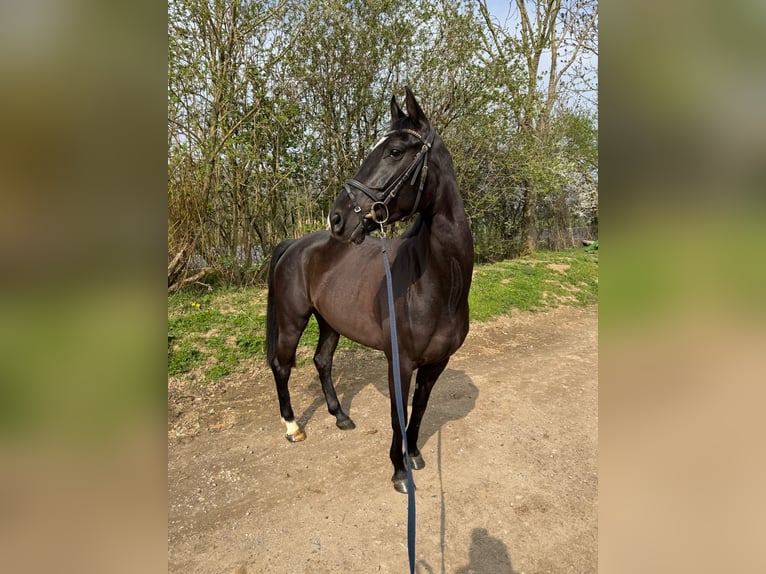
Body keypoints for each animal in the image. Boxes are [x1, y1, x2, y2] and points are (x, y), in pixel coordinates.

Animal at [266, 87, 473, 493]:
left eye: (395, 151)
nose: (337, 217)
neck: (437, 286)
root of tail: (295, 245)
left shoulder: (436, 363)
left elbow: (418, 410)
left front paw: (414, 455)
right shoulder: (400, 362)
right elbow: (397, 415)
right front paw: (399, 470)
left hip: (330, 322)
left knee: (322, 361)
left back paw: (340, 416)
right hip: (293, 319)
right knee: (282, 366)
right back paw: (293, 427)